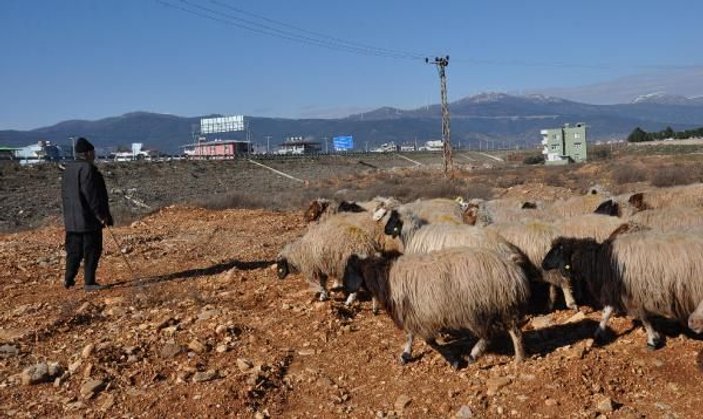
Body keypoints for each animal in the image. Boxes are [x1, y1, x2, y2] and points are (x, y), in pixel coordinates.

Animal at [548, 231, 703, 350]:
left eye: (556, 250)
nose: (544, 264)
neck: (601, 260)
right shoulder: (621, 289)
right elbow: (607, 312)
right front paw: (598, 333)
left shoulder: (632, 291)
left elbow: (643, 317)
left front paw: (652, 340)